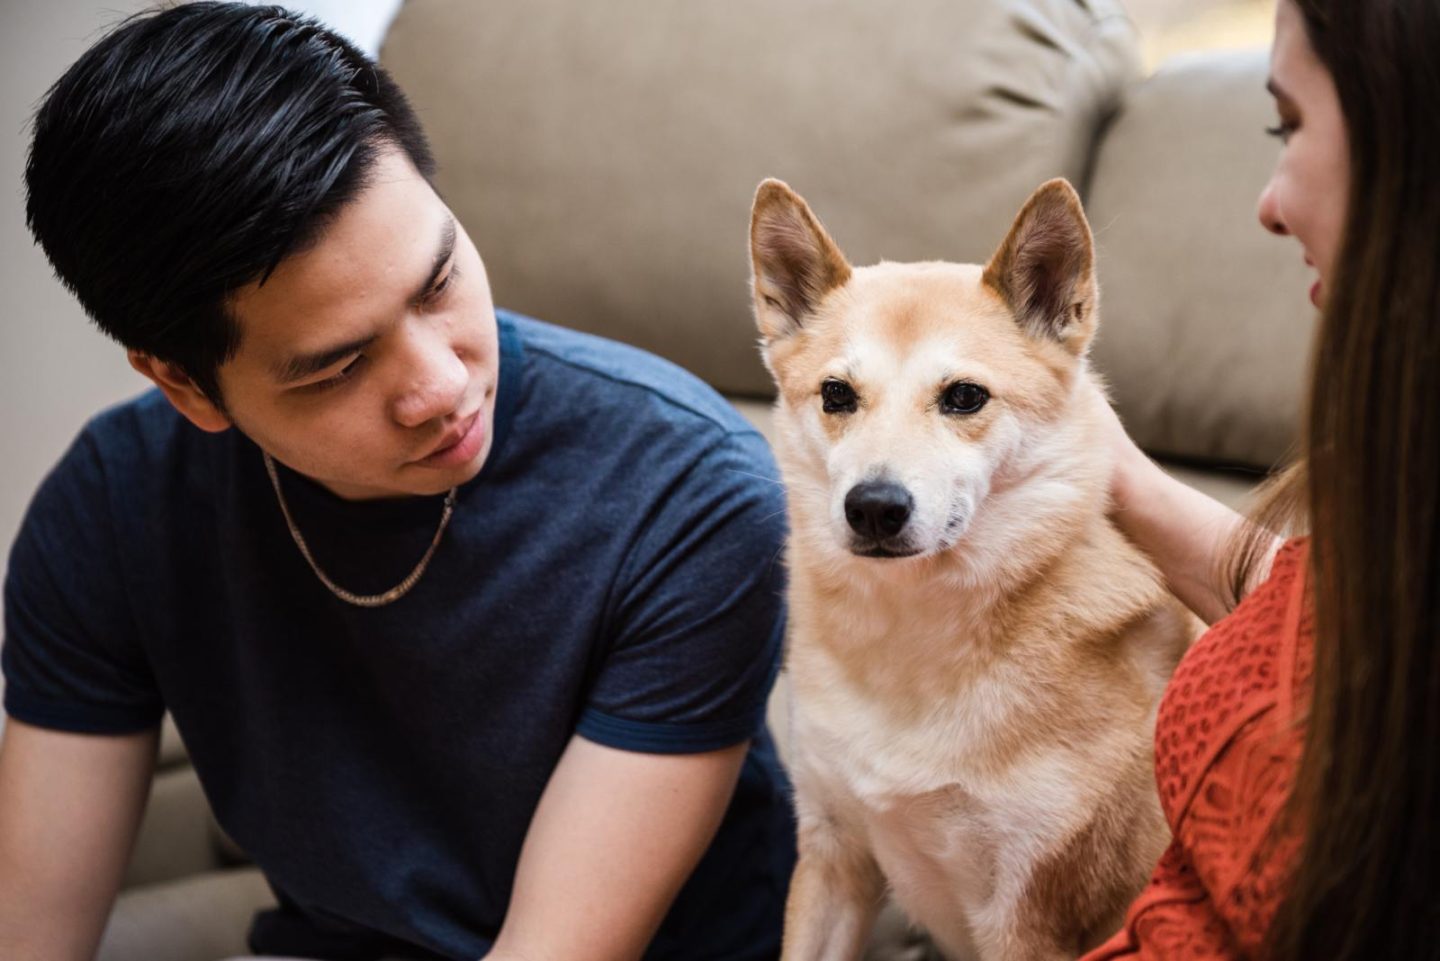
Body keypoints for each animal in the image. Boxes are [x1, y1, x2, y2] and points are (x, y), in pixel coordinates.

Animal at [754, 180, 1192, 961]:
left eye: (964, 396)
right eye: (836, 395)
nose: (874, 507)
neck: (909, 633)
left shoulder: (1029, 915)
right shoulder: (834, 856)